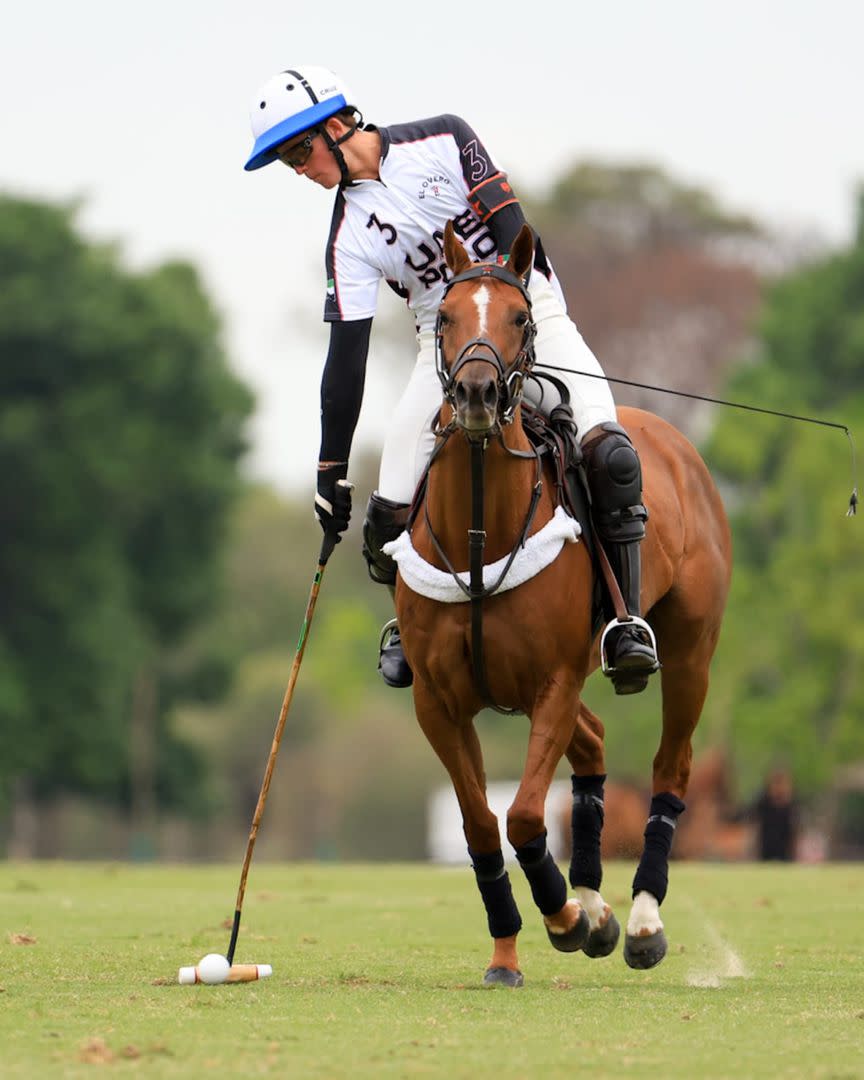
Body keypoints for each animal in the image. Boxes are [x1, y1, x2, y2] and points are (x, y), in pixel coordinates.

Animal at [395, 221, 734, 989]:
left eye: (520, 318)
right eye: (446, 316)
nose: (477, 393)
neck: (480, 533)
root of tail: (675, 441)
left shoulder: (551, 681)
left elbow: (523, 816)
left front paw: (568, 919)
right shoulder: (437, 700)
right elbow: (481, 825)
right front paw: (510, 952)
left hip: (690, 653)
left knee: (671, 767)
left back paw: (639, 920)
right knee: (596, 742)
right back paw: (597, 903)